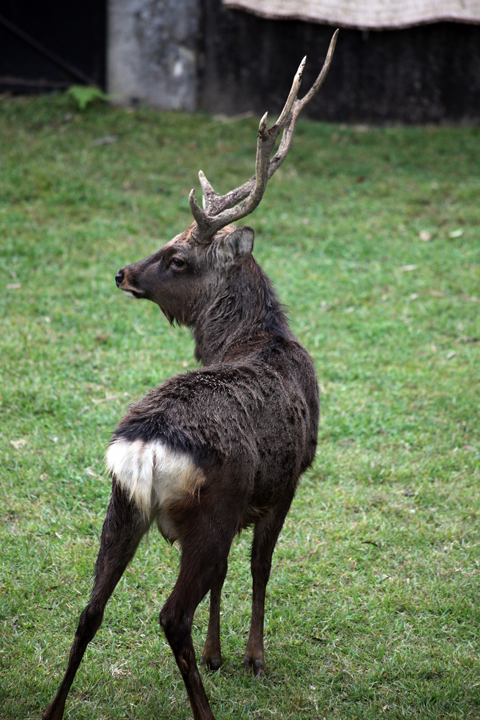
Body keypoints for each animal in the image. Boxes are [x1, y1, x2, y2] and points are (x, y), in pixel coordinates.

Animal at [43, 31, 340, 720]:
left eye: (177, 256)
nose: (123, 272)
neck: (256, 340)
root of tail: (146, 448)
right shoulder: (286, 481)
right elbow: (259, 568)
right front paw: (251, 657)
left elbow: (234, 575)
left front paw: (219, 652)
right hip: (210, 510)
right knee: (168, 614)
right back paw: (204, 706)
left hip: (121, 505)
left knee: (89, 609)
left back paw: (54, 709)